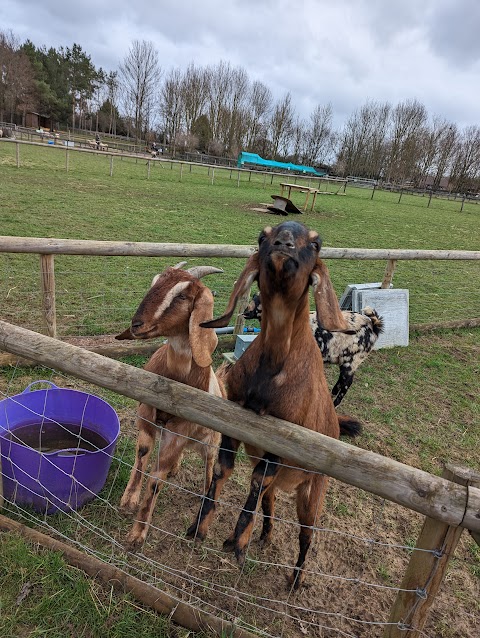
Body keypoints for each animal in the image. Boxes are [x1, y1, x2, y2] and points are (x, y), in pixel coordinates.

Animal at [116, 262, 225, 552]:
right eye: (154, 283)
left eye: (182, 296)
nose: (136, 324)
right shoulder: (146, 414)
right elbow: (143, 453)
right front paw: (128, 500)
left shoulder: (178, 430)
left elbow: (156, 479)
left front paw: (137, 534)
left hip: (211, 441)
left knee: (210, 467)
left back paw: (204, 503)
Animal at [186, 224, 362, 592]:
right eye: (262, 236)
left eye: (316, 243)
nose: (284, 243)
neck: (272, 371)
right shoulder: (234, 420)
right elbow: (225, 471)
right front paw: (201, 527)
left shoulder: (282, 439)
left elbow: (255, 482)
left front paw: (236, 543)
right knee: (271, 501)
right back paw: (264, 536)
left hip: (313, 491)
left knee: (306, 533)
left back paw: (296, 580)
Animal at [242, 294, 384, 408]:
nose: (245, 311)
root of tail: (373, 325)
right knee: (342, 379)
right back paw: (332, 393)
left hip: (353, 360)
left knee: (347, 382)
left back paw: (335, 404)